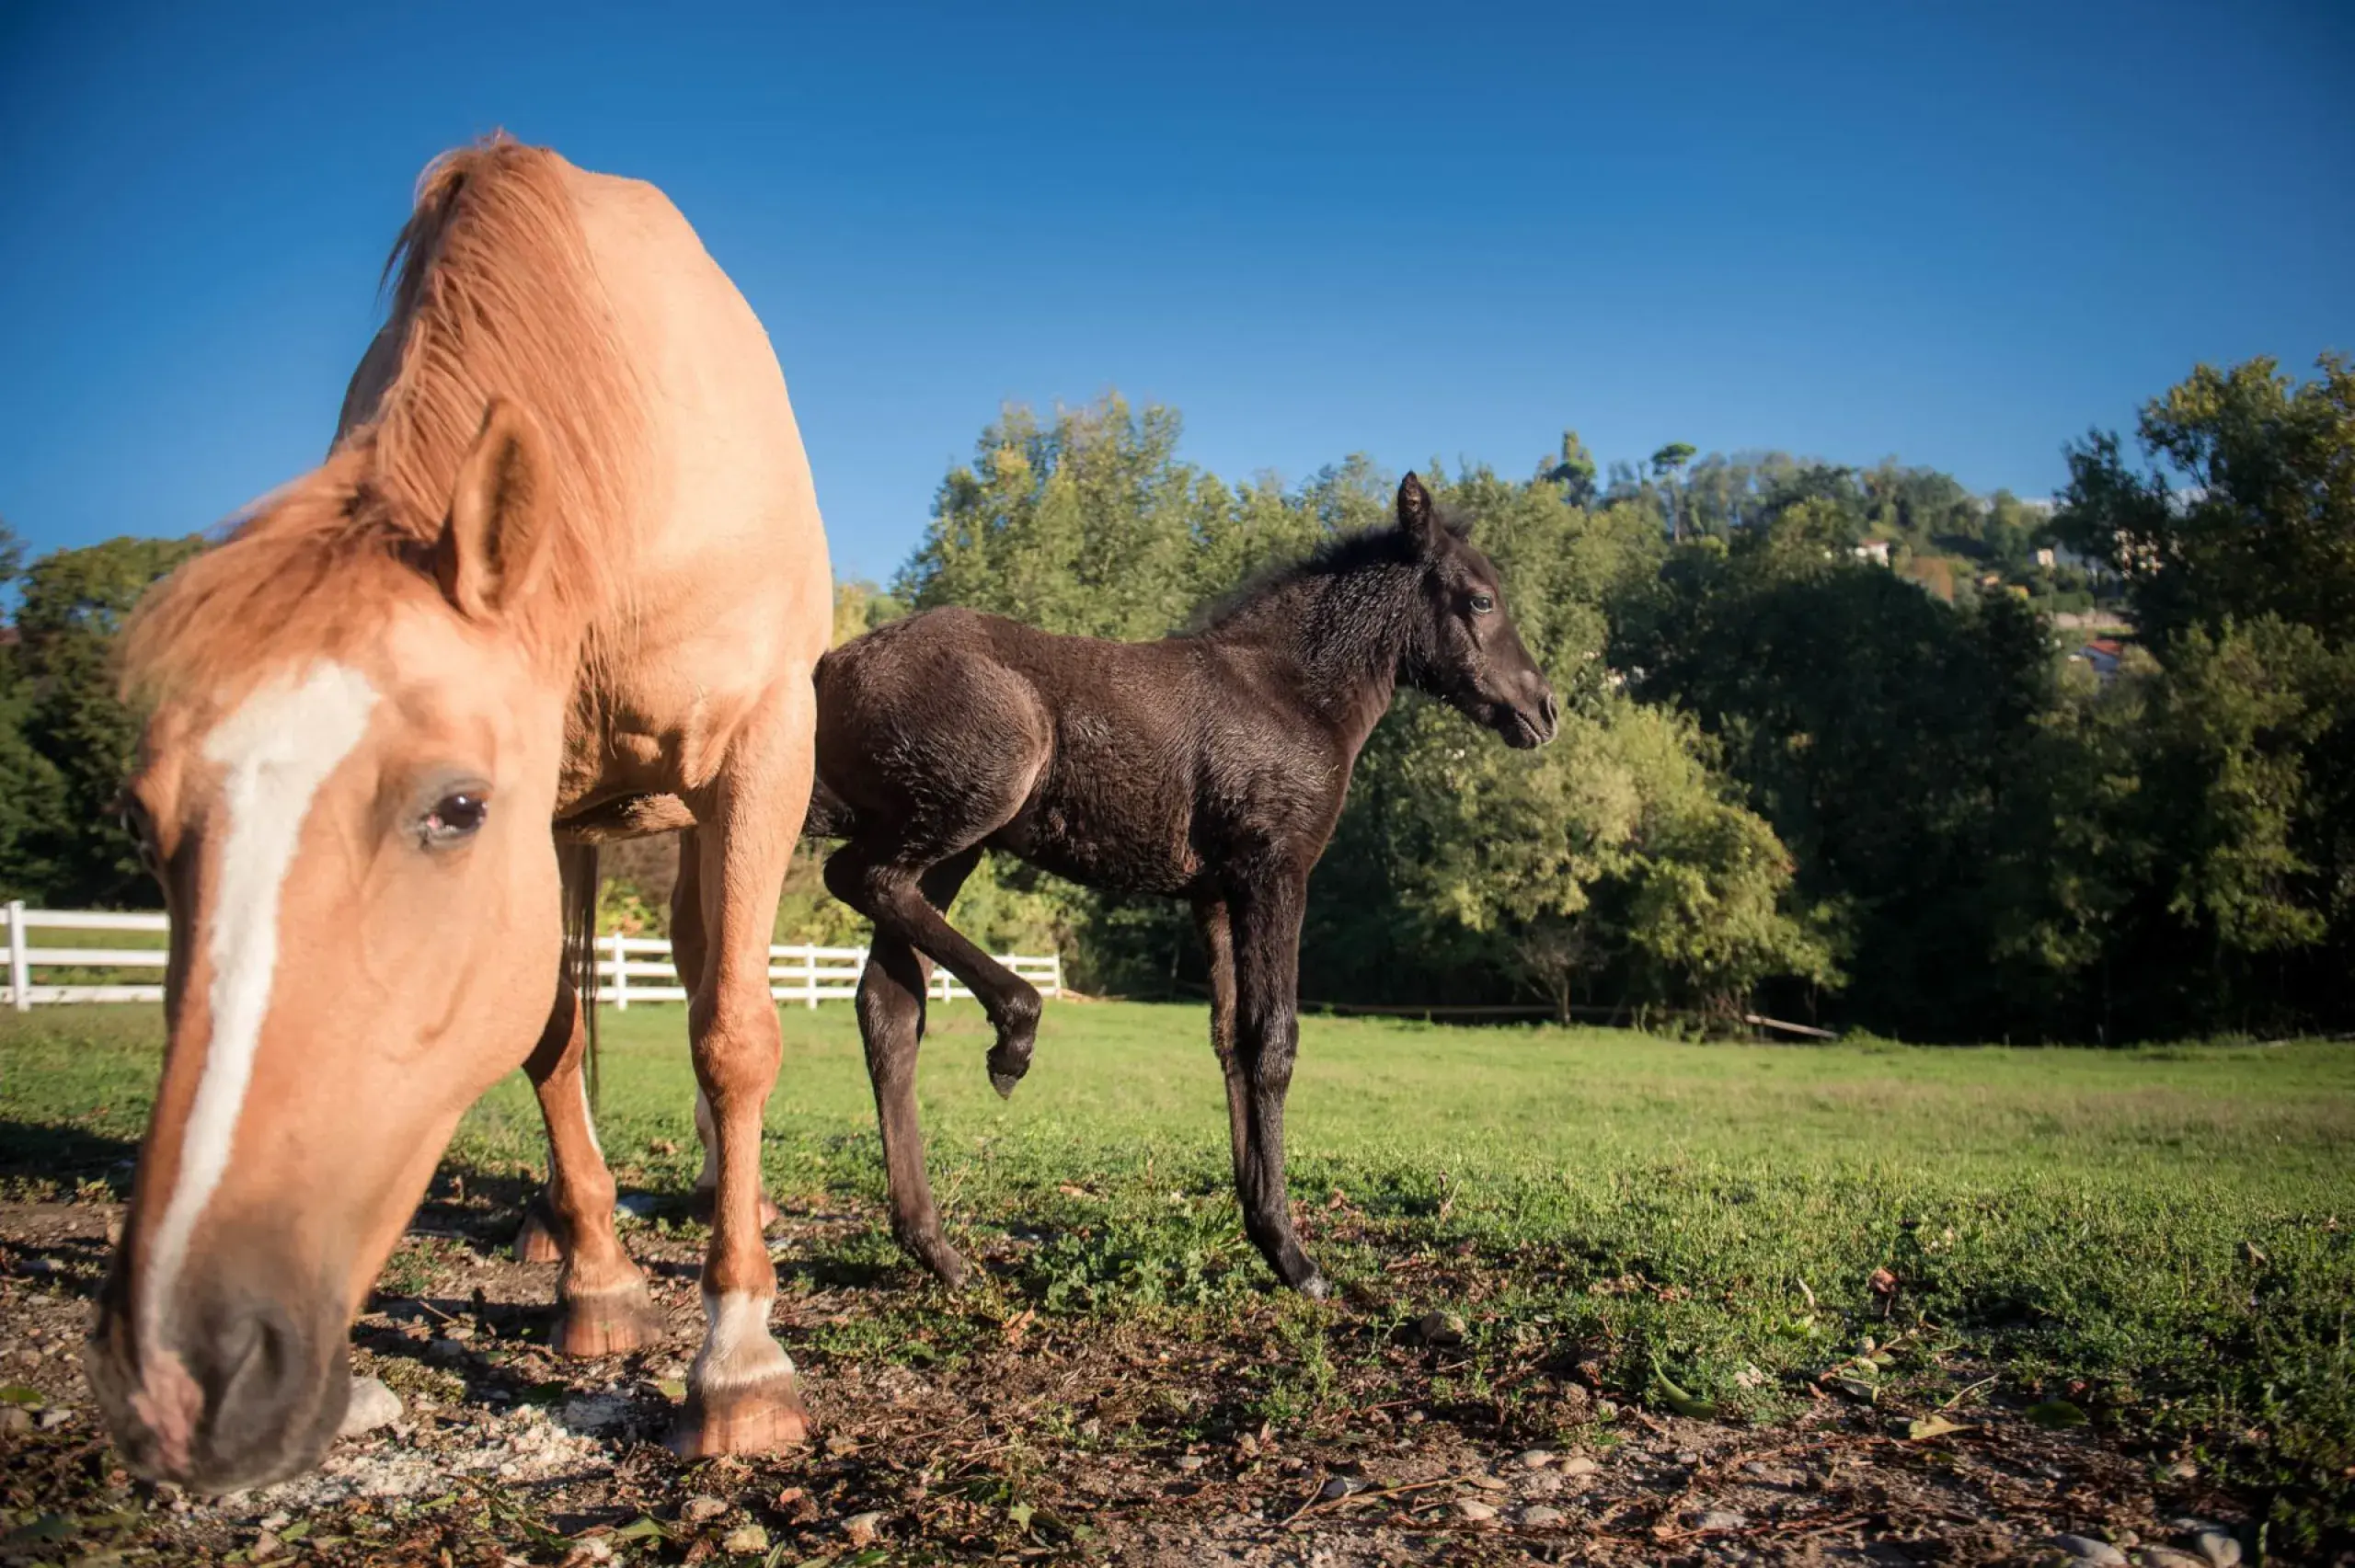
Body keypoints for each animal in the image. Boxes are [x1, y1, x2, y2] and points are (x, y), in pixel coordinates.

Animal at [89, 138, 831, 1492]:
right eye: (138, 821)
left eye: (455, 806)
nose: (181, 1372)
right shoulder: (552, 808)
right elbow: (547, 1034)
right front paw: (598, 1286)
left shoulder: (759, 753)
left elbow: (733, 1033)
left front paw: (742, 1359)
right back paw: (560, 1228)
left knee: (709, 974)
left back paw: (724, 1202)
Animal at [807, 474, 1556, 1295]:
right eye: (1481, 599)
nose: (1542, 709)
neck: (1290, 692)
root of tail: (827, 669)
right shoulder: (1275, 870)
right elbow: (1275, 1042)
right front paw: (1296, 1258)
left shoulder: (1217, 894)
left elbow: (1232, 1039)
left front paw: (1263, 1226)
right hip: (970, 802)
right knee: (858, 878)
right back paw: (1014, 1036)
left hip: (956, 844)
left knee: (888, 1002)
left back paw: (937, 1246)